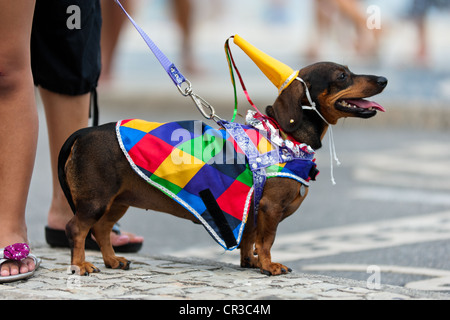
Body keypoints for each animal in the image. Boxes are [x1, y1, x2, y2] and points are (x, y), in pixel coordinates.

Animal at [60, 62, 386, 276]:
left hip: (116, 202)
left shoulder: (252, 208)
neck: (283, 135)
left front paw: (251, 263)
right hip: (95, 200)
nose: (383, 79)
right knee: (77, 228)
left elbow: (251, 239)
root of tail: (85, 132)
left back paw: (113, 260)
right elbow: (266, 241)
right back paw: (80, 265)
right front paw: (268, 265)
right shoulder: (269, 207)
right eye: (342, 76)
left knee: (101, 229)